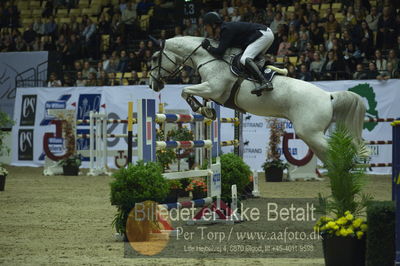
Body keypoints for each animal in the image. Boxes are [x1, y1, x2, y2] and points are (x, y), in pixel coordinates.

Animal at [148, 36, 368, 161]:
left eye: (154, 58)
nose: (152, 85)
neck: (209, 58)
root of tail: (329, 96)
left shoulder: (213, 88)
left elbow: (185, 90)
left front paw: (203, 109)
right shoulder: (210, 90)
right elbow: (189, 92)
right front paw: (206, 109)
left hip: (310, 133)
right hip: (312, 135)